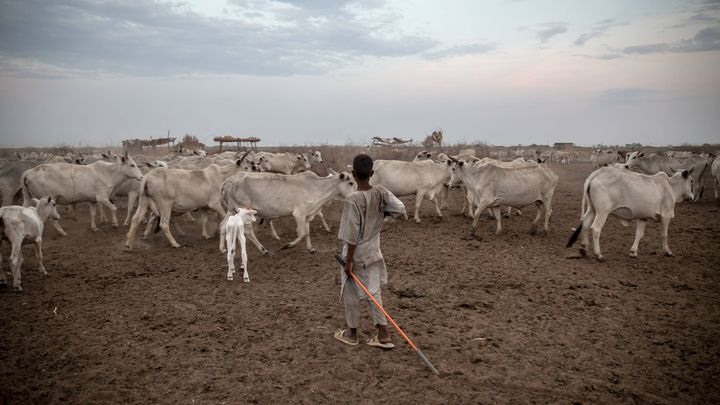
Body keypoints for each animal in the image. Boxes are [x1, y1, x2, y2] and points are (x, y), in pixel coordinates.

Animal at [218, 170, 356, 252]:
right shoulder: (299, 214)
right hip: (244, 210)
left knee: (223, 225)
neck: (316, 187)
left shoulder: (307, 215)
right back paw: (263, 249)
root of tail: (227, 182)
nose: (356, 193)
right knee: (248, 231)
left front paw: (310, 248)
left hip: (232, 209)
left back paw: (223, 248)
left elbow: (307, 232)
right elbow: (302, 233)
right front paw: (287, 245)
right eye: (350, 182)